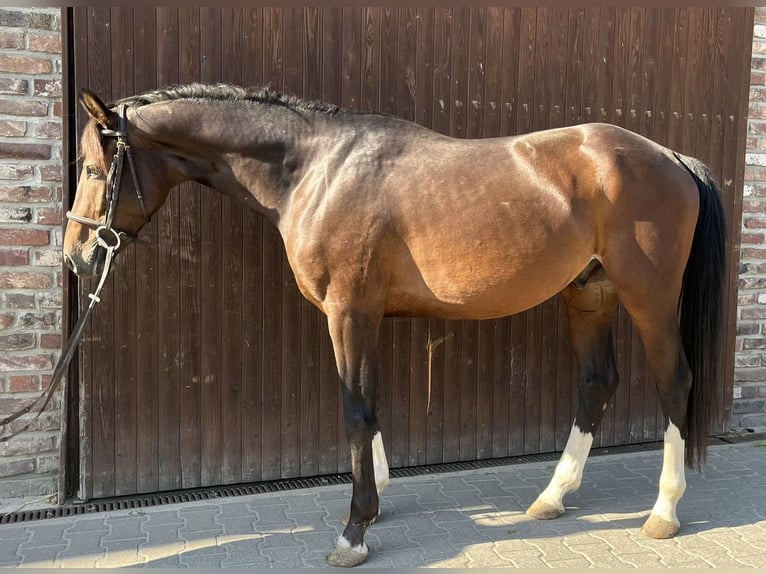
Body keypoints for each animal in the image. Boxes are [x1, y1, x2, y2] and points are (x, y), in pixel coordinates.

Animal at [64, 83, 728, 568]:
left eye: (94, 169)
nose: (77, 256)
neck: (316, 170)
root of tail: (671, 157)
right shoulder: (361, 315)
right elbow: (371, 403)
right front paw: (375, 502)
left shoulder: (349, 311)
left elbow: (356, 408)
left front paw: (355, 529)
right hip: (589, 296)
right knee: (596, 384)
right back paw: (551, 497)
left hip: (648, 297)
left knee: (674, 382)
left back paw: (664, 512)